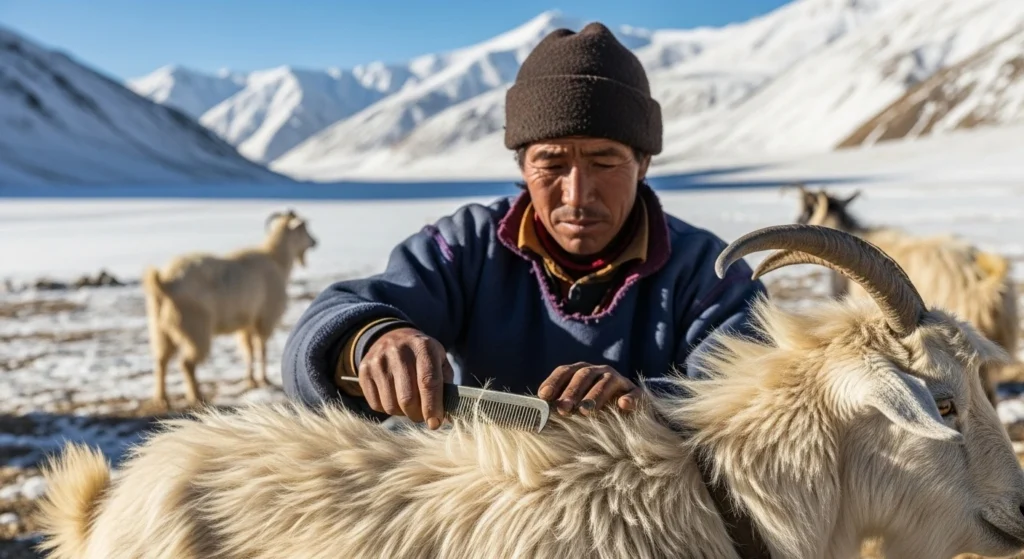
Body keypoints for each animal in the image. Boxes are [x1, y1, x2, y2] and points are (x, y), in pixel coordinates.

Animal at [141, 209, 317, 409]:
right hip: (194, 326)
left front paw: (251, 381)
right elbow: (261, 349)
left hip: (159, 327)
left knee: (161, 360)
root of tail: (165, 283)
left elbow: (248, 350)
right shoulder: (265, 317)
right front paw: (264, 380)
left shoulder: (246, 322)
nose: (315, 242)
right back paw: (197, 397)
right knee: (187, 363)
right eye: (303, 226)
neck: (276, 259)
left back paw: (162, 399)